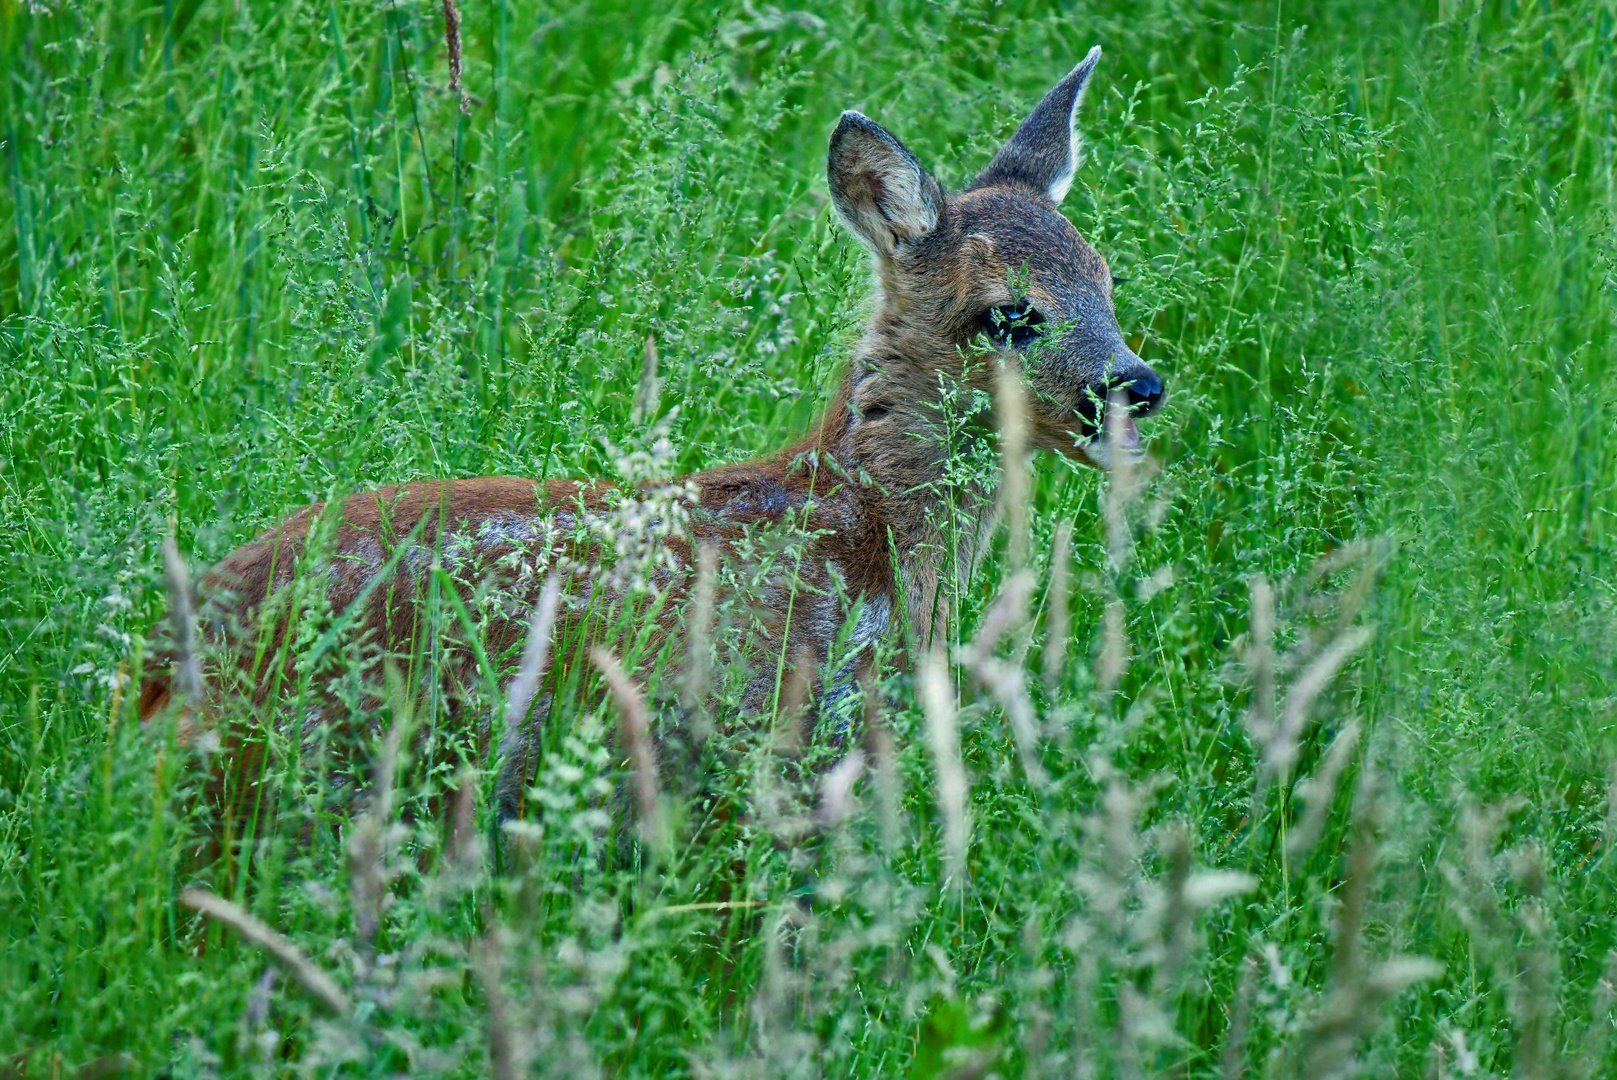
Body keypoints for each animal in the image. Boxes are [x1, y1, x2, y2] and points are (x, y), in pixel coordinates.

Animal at [139, 46, 1164, 840]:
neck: (866, 529)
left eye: (1108, 280)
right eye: (1007, 316)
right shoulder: (777, 730)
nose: (1137, 388)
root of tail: (152, 671)